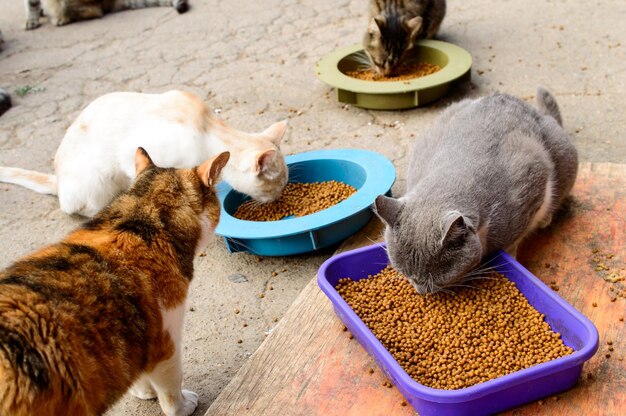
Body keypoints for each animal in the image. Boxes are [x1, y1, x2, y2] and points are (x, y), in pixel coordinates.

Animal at [0, 90, 288, 218]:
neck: (209, 129)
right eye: (275, 186)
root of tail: (59, 182)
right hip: (96, 186)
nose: (278, 198)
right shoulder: (136, 155)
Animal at [0, 148, 229, 414]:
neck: (137, 223)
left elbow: (137, 374)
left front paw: (143, 392)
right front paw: (182, 406)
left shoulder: (130, 340)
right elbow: (171, 386)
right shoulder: (165, 341)